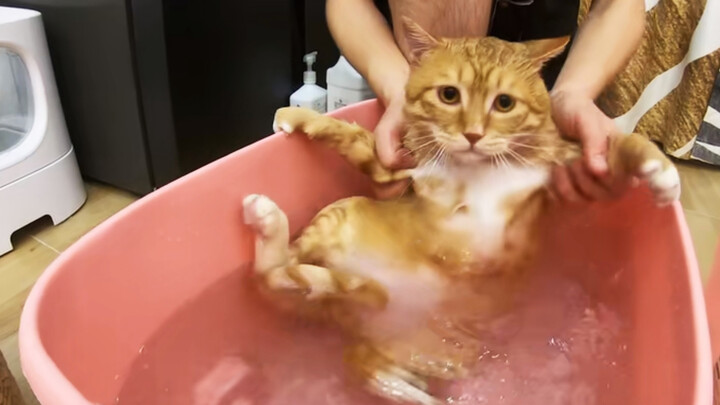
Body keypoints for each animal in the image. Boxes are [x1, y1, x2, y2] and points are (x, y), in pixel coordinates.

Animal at [243, 18, 680, 404]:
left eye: (504, 103)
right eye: (449, 95)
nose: (472, 134)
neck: (478, 169)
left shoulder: (571, 172)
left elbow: (620, 148)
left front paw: (658, 168)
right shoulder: (398, 167)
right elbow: (347, 134)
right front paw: (296, 115)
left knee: (357, 353)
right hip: (342, 215)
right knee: (270, 277)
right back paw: (267, 220)